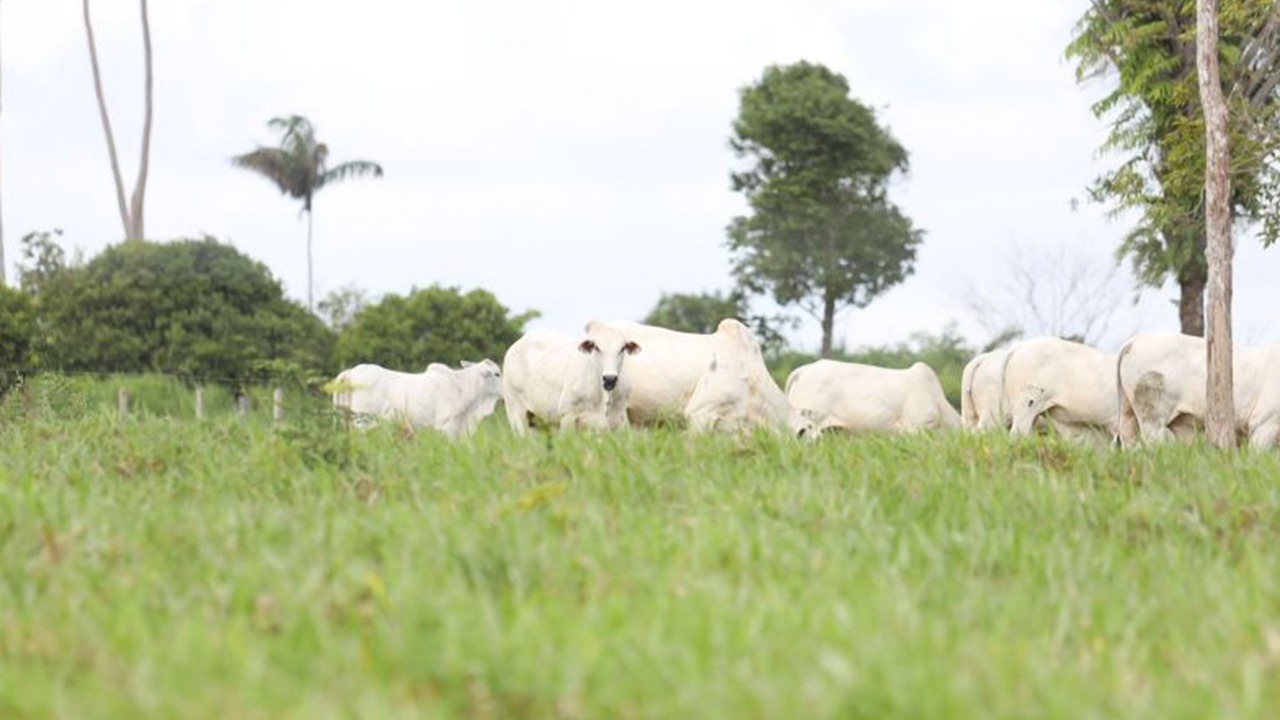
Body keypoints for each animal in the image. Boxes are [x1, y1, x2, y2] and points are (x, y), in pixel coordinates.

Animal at [499, 320, 640, 430]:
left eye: (622, 348)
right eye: (597, 347)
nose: (609, 379)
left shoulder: (617, 421)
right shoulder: (567, 416)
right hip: (516, 414)